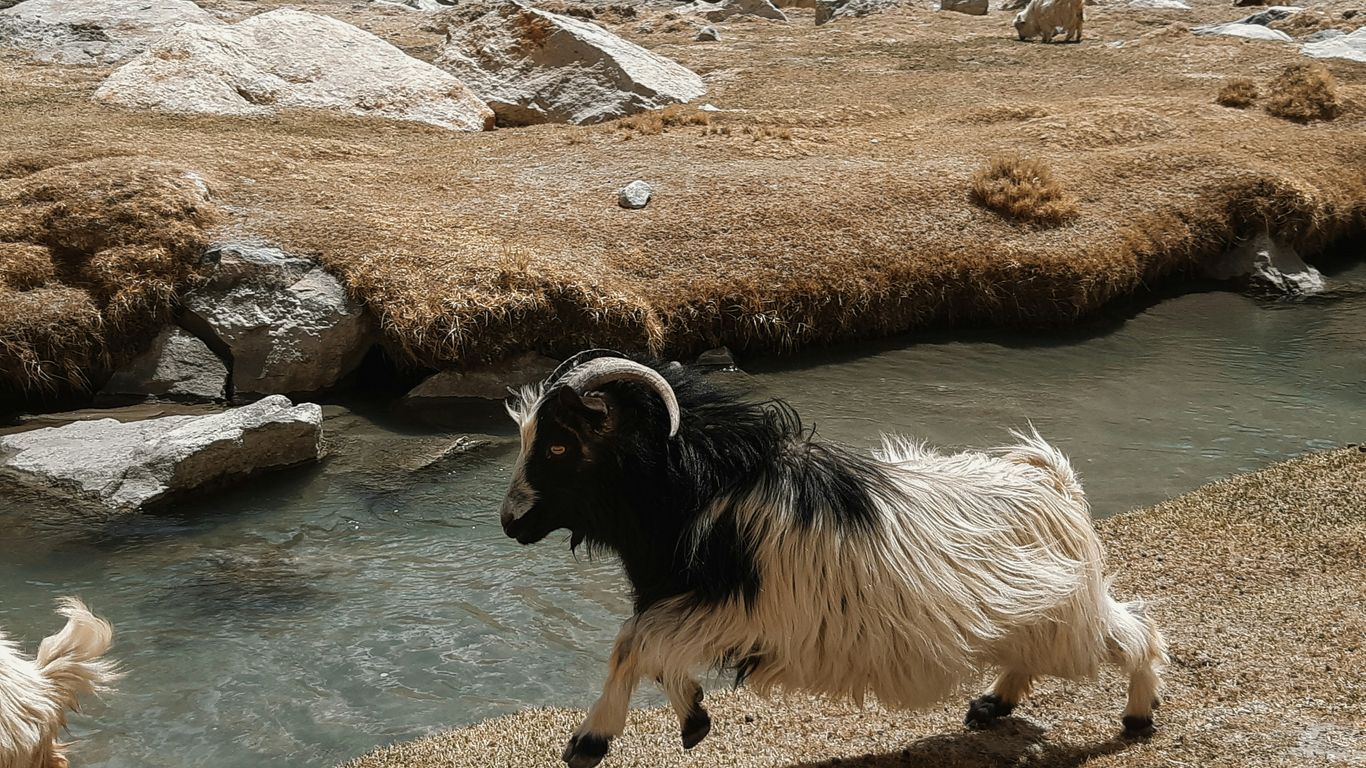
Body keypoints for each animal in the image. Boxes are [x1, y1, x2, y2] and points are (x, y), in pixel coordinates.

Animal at [499, 350, 1166, 768]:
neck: (712, 487)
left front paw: (590, 741)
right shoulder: (691, 606)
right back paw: (993, 703)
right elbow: (648, 652)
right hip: (1033, 612)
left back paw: (1138, 717)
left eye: (559, 446)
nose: (510, 522)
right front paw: (693, 718)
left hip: (1070, 616)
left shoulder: (728, 610)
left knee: (1137, 635)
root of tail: (1054, 483)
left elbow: (633, 646)